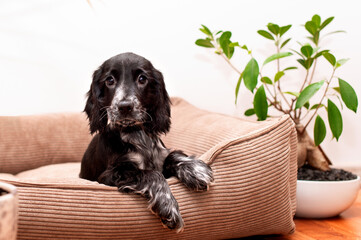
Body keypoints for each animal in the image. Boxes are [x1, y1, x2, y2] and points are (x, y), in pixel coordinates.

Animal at [79, 52, 211, 232]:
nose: (124, 106)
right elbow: (150, 174)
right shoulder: (108, 175)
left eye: (142, 79)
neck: (135, 134)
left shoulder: (160, 155)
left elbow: (172, 155)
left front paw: (195, 169)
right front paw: (167, 205)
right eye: (110, 80)